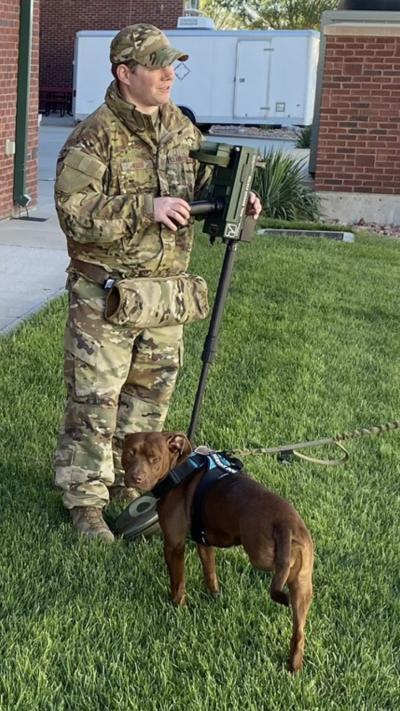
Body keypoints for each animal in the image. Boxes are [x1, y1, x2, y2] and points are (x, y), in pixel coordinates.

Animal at [120, 432, 314, 672]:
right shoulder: (204, 541)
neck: (180, 468)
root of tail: (286, 526)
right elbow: (210, 572)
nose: (136, 477)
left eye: (155, 458)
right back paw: (293, 666)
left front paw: (178, 609)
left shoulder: (174, 545)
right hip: (302, 581)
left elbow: (178, 583)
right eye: (129, 453)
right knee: (299, 632)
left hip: (262, 557)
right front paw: (215, 596)